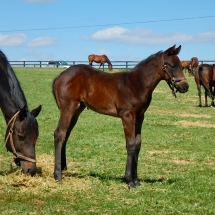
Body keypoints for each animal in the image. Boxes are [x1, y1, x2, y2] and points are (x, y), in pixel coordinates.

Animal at [52, 44, 188, 187]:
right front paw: (129, 180)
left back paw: (63, 168)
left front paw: (136, 180)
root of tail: (60, 76)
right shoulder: (127, 116)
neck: (137, 84)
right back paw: (58, 174)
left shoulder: (140, 117)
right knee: (59, 133)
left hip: (77, 110)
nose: (185, 86)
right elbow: (131, 144)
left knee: (66, 134)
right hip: (68, 108)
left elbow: (138, 144)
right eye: (172, 65)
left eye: (181, 65)